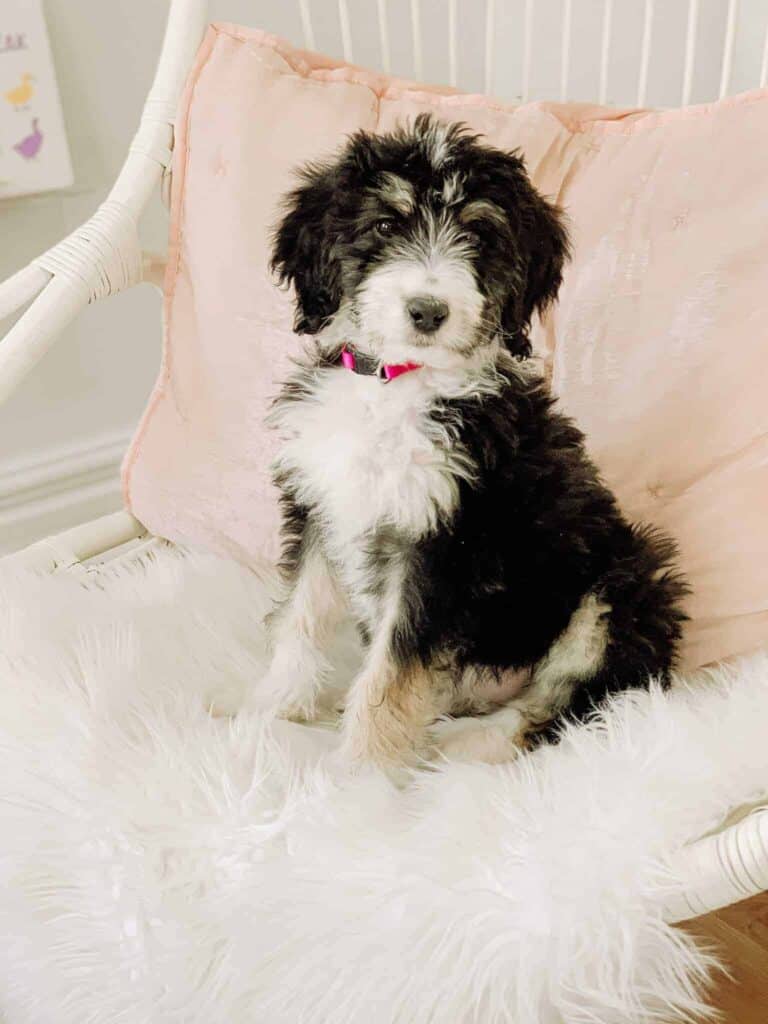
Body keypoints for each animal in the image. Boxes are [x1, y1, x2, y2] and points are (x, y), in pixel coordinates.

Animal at [257, 114, 684, 770]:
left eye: (480, 237)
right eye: (385, 225)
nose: (428, 311)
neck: (396, 385)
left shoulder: (446, 547)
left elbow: (393, 671)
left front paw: (360, 774)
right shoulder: (320, 502)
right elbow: (301, 615)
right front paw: (272, 709)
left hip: (621, 591)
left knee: (562, 707)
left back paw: (459, 746)